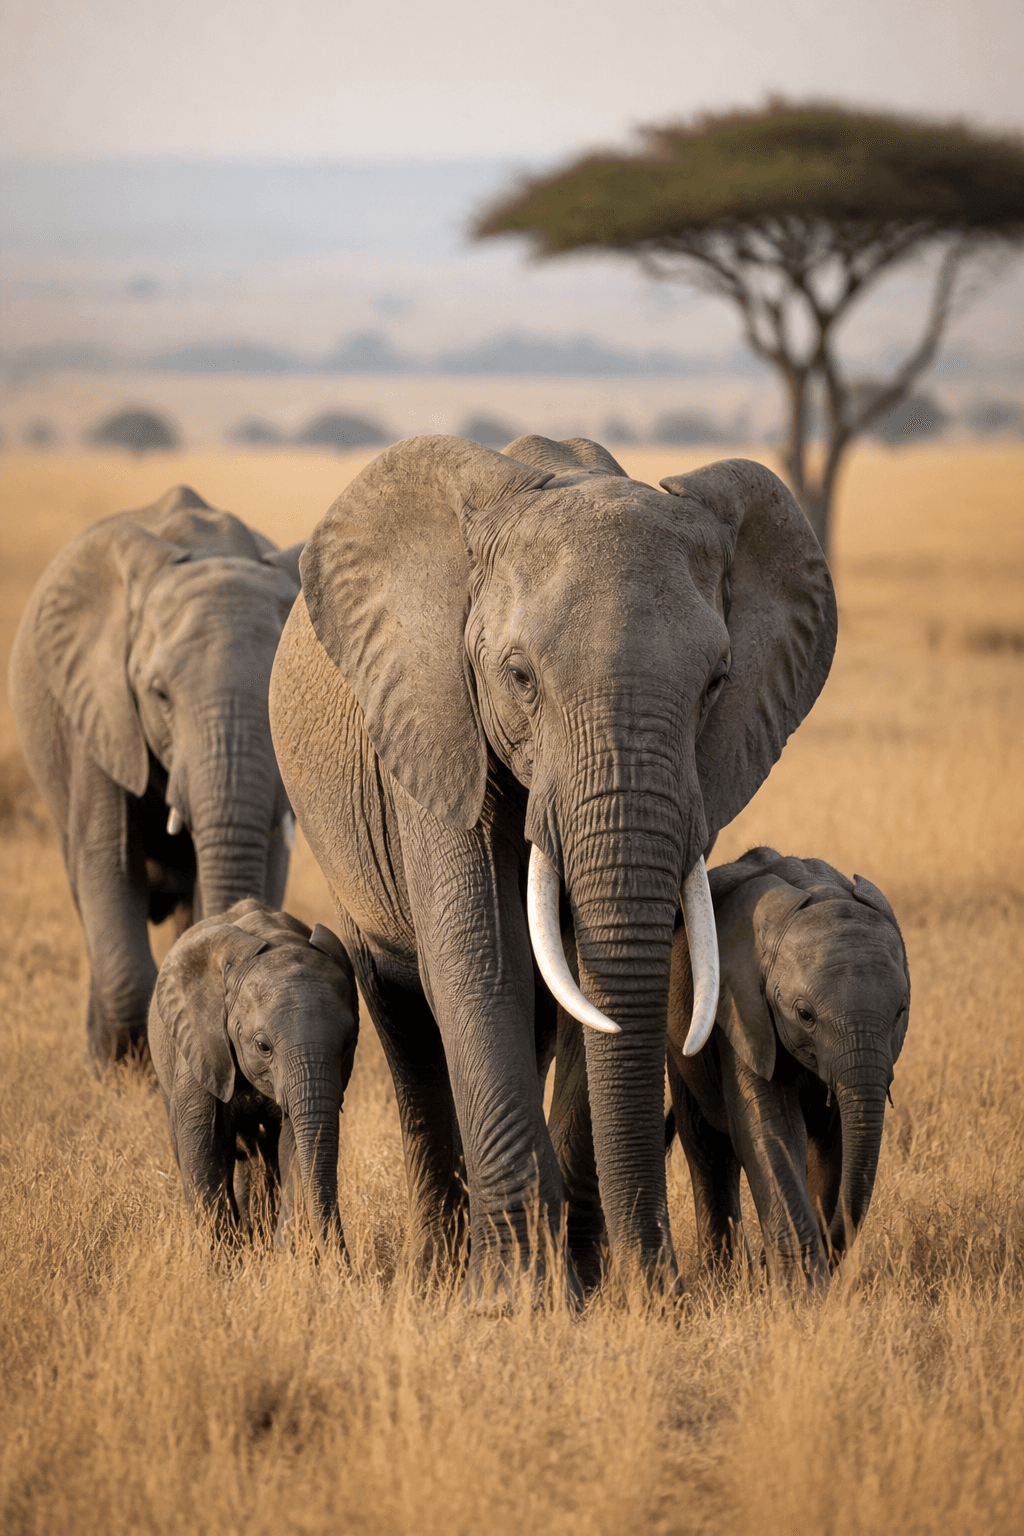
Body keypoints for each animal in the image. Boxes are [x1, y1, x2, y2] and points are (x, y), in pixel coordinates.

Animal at [149, 898, 358, 1250]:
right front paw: (221, 1259)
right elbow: (202, 1144)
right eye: (263, 1046)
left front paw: (284, 1256)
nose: (345, 1261)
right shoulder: (203, 1045)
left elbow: (295, 1148)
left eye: (348, 1045)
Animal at [268, 433, 837, 1302]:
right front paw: (514, 1299)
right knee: (402, 1010)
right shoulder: (436, 725)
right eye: (519, 676)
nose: (660, 1285)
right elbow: (483, 961)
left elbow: (586, 988)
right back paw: (439, 1271)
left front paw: (597, 1287)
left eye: (716, 684)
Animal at [665, 848, 911, 1290]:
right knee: (706, 1149)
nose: (764, 1266)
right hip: (682, 1046)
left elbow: (836, 1140)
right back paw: (723, 1284)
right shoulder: (741, 1010)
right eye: (805, 1015)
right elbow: (771, 1128)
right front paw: (802, 1297)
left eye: (900, 1011)